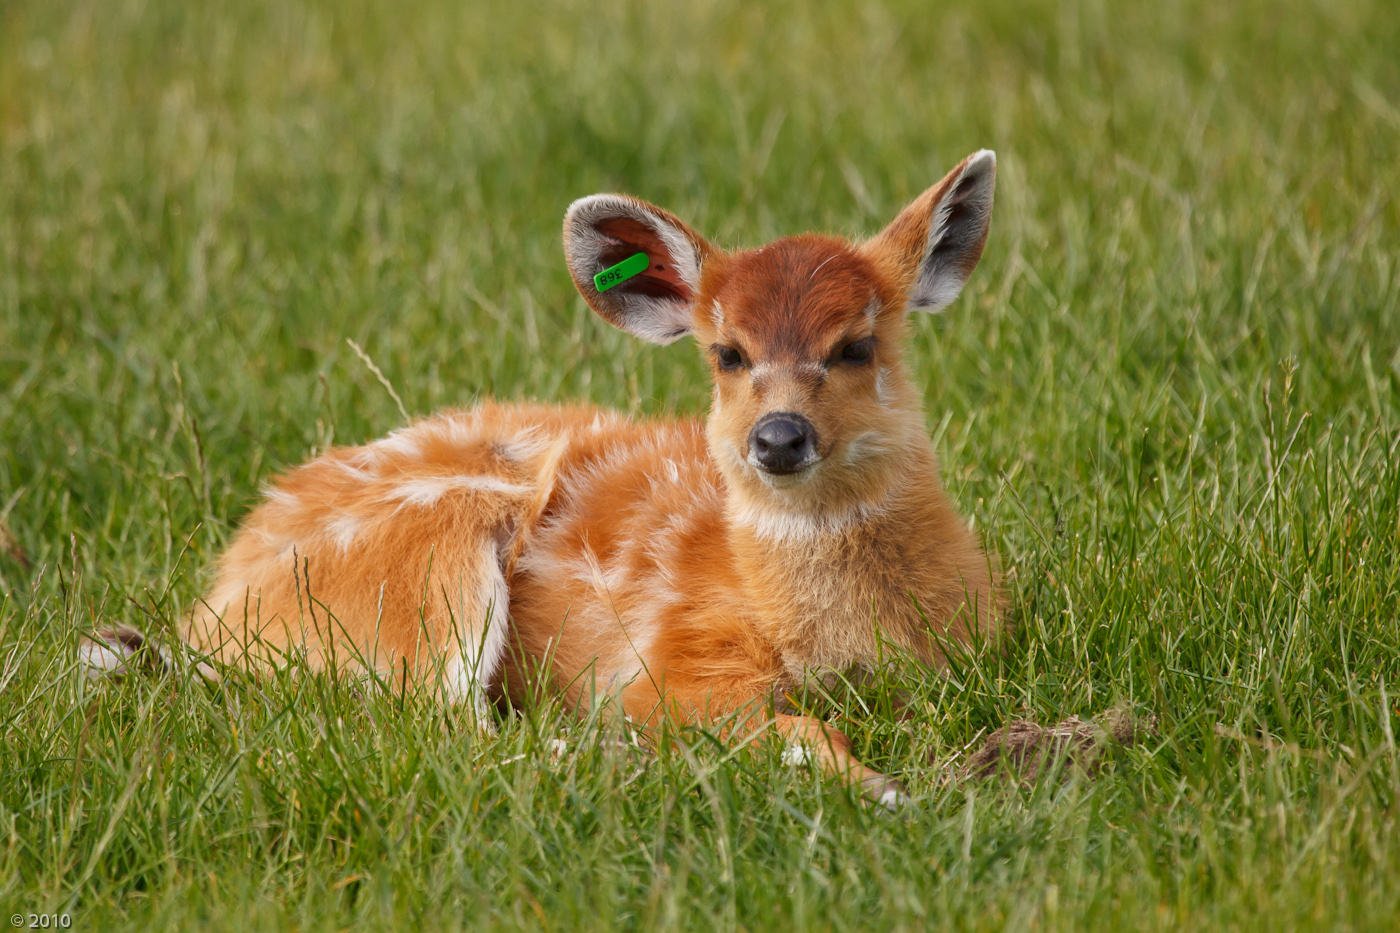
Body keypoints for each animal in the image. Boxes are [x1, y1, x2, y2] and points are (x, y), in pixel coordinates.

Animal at [84, 150, 1003, 806]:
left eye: (857, 345)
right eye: (727, 354)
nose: (778, 436)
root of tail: (212, 612)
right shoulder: (676, 661)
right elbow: (786, 724)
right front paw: (885, 786)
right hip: (435, 554)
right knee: (435, 728)